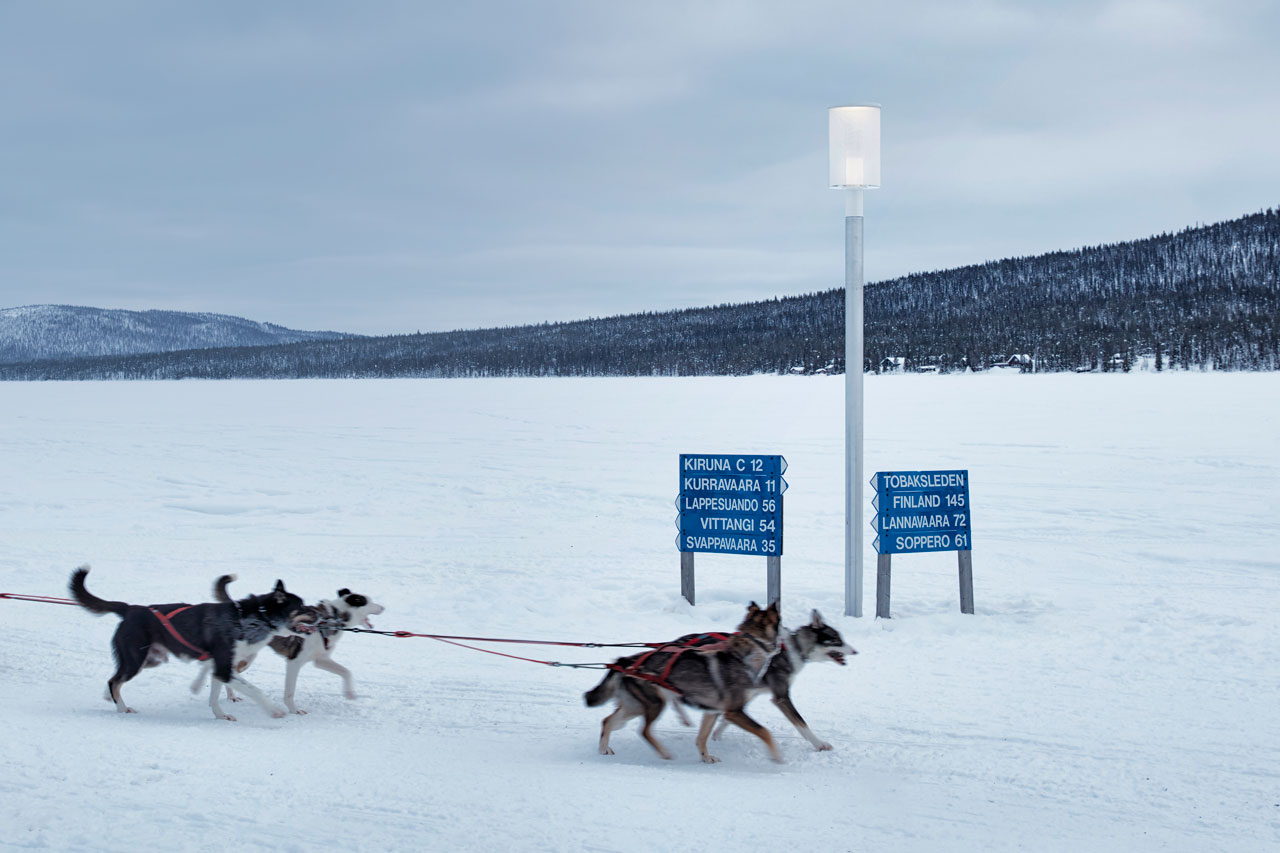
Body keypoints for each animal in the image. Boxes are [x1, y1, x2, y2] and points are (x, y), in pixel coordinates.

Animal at [69, 565, 306, 721]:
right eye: (301, 607)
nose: (315, 615)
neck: (251, 618)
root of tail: (130, 608)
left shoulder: (221, 667)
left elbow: (215, 695)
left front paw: (220, 714)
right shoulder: (223, 667)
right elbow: (254, 690)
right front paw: (275, 710)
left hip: (149, 659)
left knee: (114, 678)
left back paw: (109, 697)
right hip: (136, 659)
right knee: (114, 681)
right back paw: (121, 709)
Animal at [191, 575, 384, 714]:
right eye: (367, 601)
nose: (383, 607)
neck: (331, 618)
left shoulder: (320, 660)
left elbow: (346, 672)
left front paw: (350, 693)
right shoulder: (294, 662)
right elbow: (290, 692)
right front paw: (294, 710)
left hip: (247, 655)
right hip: (246, 656)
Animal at [584, 601, 783, 763]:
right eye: (780, 624)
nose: (782, 645)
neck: (745, 655)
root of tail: (625, 661)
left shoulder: (713, 710)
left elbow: (702, 737)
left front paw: (706, 757)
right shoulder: (733, 712)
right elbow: (765, 732)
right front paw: (776, 756)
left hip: (634, 706)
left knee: (607, 721)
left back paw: (603, 749)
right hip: (654, 704)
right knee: (644, 731)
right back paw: (664, 753)